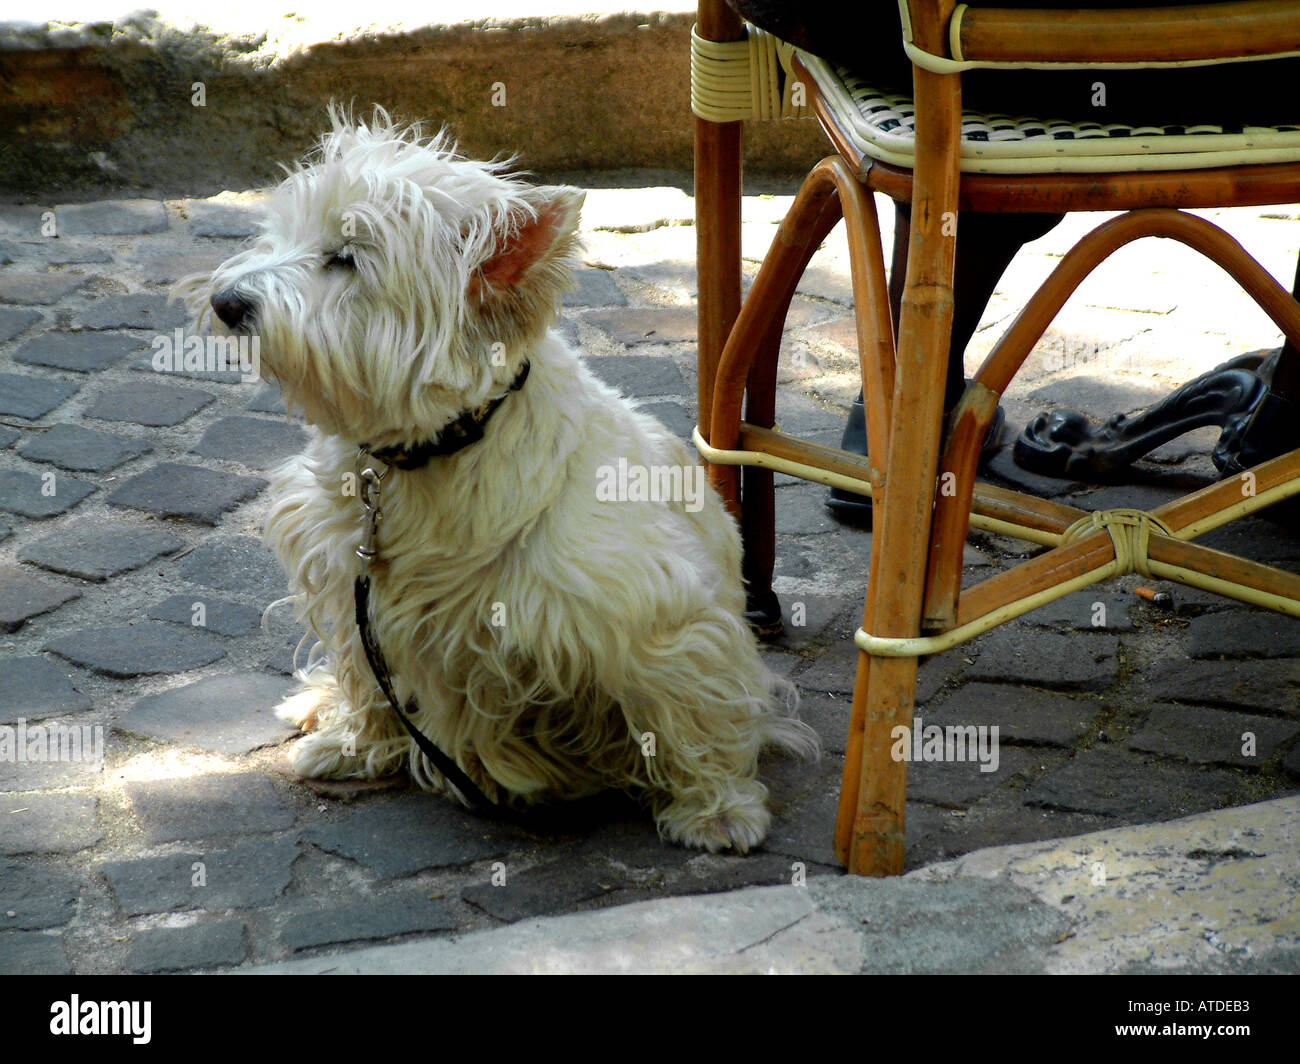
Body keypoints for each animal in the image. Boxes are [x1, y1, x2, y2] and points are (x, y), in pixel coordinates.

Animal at [178, 107, 816, 848]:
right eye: (285, 234)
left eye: (345, 258)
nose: (225, 301)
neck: (430, 454)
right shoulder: (350, 578)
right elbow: (366, 672)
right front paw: (357, 744)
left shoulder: (657, 612)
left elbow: (690, 702)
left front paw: (718, 807)